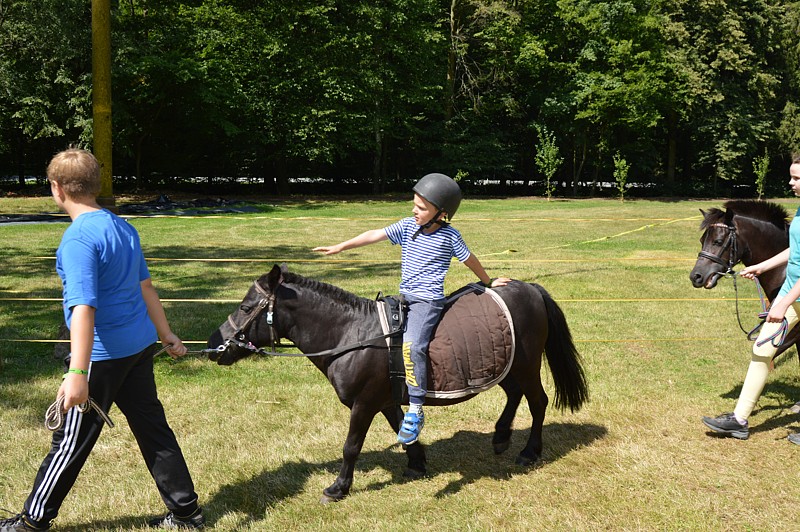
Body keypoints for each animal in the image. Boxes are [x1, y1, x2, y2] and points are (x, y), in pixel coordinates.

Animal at [209, 266, 592, 502]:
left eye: (246, 307)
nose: (214, 344)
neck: (353, 335)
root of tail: (530, 288)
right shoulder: (385, 399)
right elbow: (401, 430)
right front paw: (417, 463)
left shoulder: (364, 404)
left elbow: (351, 446)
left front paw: (338, 487)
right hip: (507, 365)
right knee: (513, 395)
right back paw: (500, 437)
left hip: (526, 365)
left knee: (538, 402)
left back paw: (530, 451)